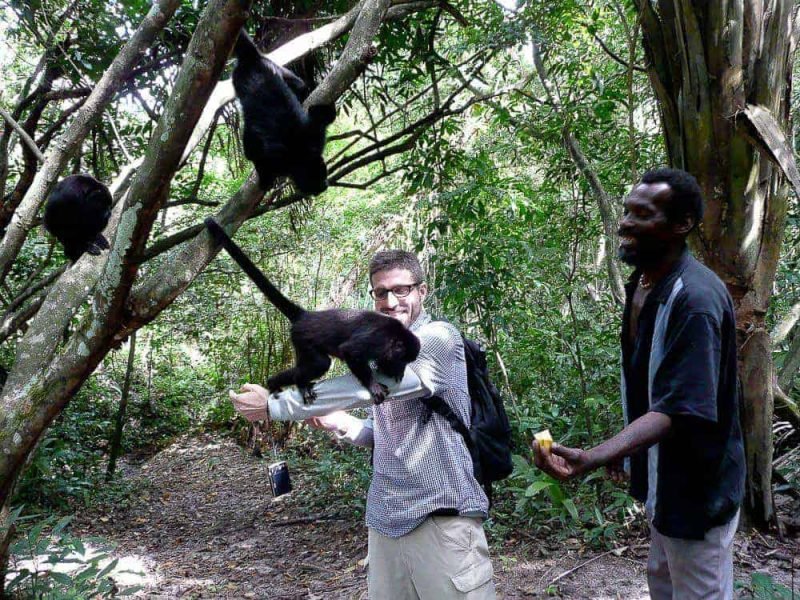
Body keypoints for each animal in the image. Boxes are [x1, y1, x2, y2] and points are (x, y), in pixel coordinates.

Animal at [205, 218, 420, 404]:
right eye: (402, 359)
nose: (401, 370)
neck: (395, 336)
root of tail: (306, 315)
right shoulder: (377, 339)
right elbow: (349, 351)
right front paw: (373, 385)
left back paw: (274, 383)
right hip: (302, 338)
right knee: (320, 363)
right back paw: (295, 383)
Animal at [232, 31, 336, 196]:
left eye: (324, 174)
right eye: (317, 181)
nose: (325, 185)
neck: (301, 154)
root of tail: (253, 59)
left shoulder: (314, 137)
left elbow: (321, 116)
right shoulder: (277, 159)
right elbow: (253, 154)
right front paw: (264, 180)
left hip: (275, 67)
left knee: (300, 85)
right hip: (238, 78)